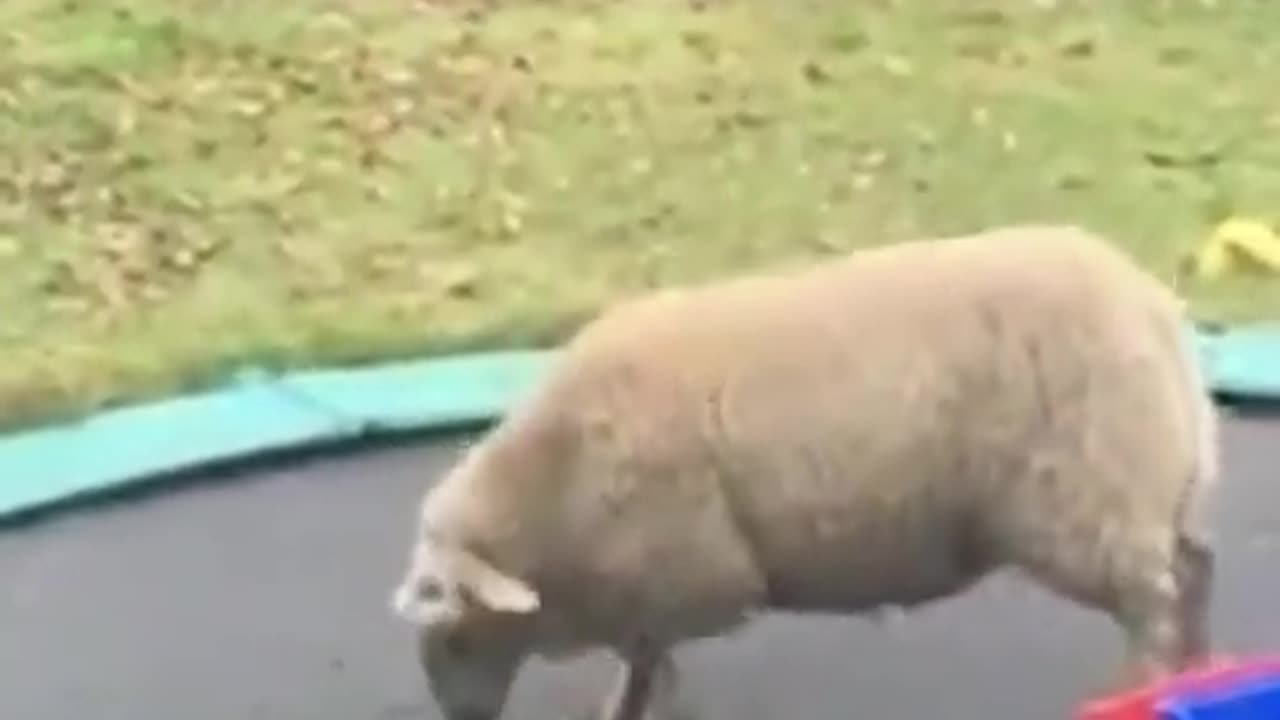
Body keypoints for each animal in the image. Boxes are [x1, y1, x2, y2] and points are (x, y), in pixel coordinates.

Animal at [386, 224, 1218, 717]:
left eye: (452, 636)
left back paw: (1146, 686)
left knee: (1154, 601)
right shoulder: (646, 588)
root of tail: (1154, 309)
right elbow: (644, 657)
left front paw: (636, 708)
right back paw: (1200, 666)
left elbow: (647, 657)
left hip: (1089, 501)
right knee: (1194, 571)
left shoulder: (680, 576)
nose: (460, 718)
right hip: (1156, 487)